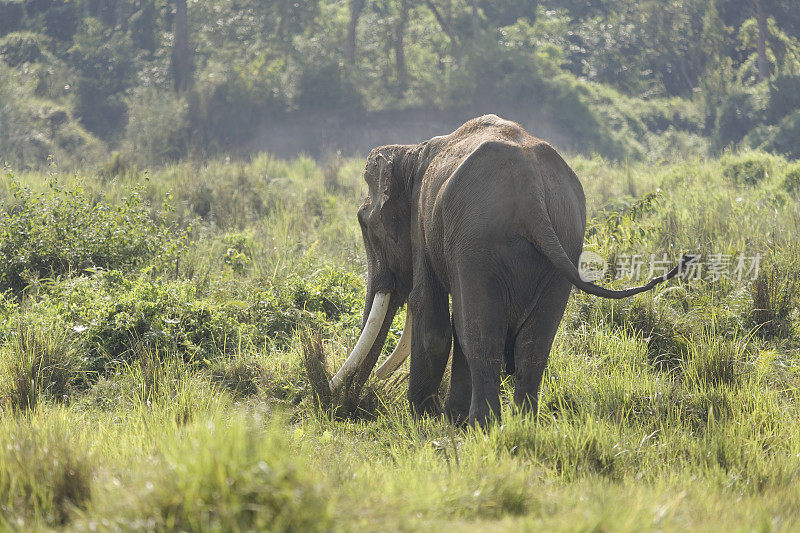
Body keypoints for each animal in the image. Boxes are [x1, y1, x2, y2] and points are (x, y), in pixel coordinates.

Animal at [328, 114, 684, 426]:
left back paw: (482, 425)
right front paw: (446, 417)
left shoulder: (421, 224)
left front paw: (422, 416)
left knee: (480, 336)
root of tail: (531, 192)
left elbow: (428, 311)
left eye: (363, 222)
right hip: (564, 244)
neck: (412, 152)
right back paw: (523, 425)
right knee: (534, 345)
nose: (350, 404)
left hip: (476, 242)